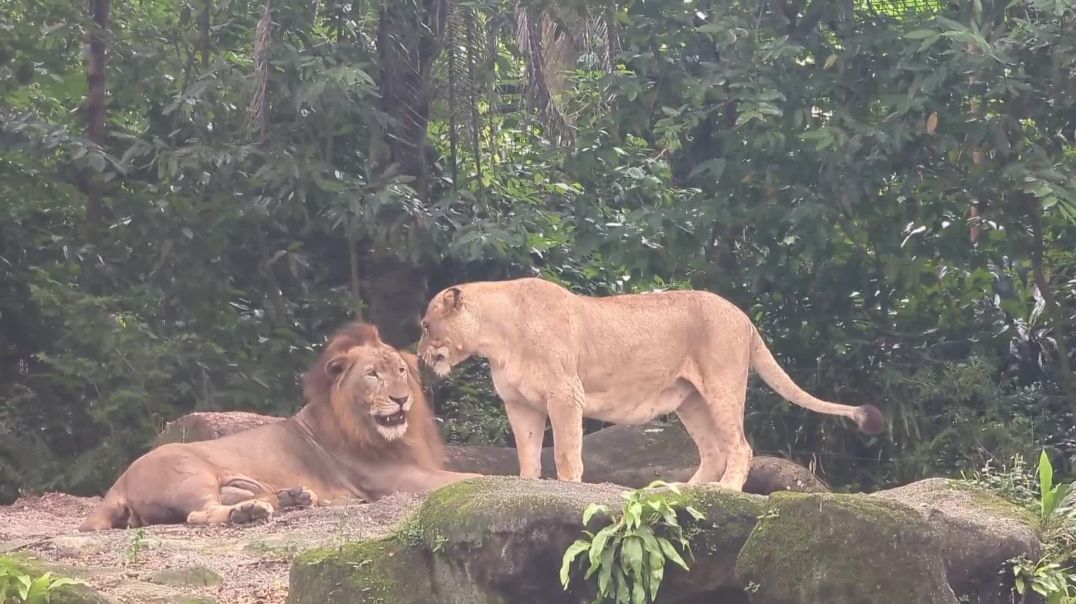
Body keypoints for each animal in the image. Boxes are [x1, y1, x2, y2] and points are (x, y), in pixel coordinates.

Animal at [79, 322, 477, 530]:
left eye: (400, 371)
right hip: (187, 472)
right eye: (372, 375)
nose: (401, 399)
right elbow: (473, 478)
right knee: (198, 514)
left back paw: (291, 498)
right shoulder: (394, 477)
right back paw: (250, 512)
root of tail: (119, 482)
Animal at [417, 277, 885, 492]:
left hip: (721, 384)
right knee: (714, 450)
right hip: (691, 400)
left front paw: (568, 487)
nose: (417, 357)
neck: (496, 337)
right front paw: (528, 485)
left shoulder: (566, 394)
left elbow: (566, 450)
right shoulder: (520, 404)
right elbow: (527, 452)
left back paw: (726, 490)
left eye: (425, 325)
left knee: (740, 446)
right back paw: (686, 490)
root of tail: (744, 317)